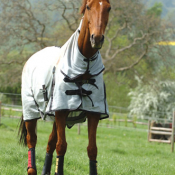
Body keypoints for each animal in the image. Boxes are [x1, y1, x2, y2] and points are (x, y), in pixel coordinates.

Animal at [18, 0, 110, 174]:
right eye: (89, 7)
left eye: (108, 8)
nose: (97, 38)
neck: (83, 68)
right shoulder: (61, 111)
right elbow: (61, 146)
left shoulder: (93, 113)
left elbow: (92, 149)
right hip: (31, 110)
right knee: (32, 139)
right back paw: (31, 169)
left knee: (50, 142)